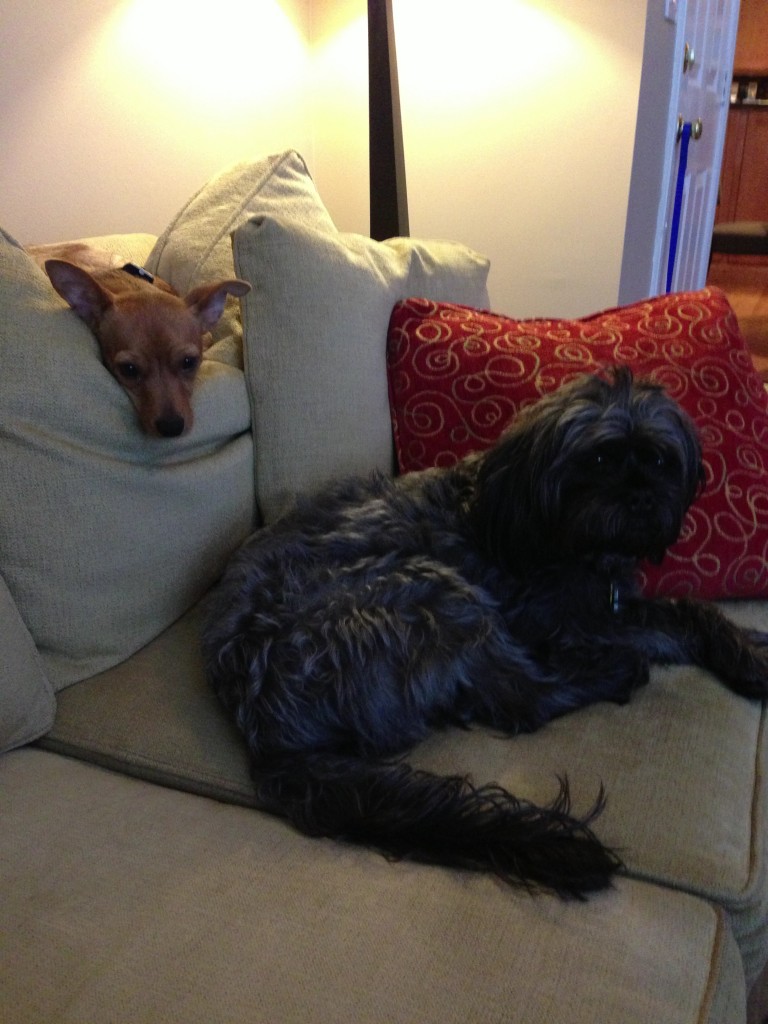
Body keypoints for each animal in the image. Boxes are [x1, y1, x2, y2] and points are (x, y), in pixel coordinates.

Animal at [202, 368, 768, 897]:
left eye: (659, 460)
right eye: (599, 460)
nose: (642, 499)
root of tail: (268, 736)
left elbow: (688, 612)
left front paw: (748, 650)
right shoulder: (557, 624)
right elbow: (662, 627)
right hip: (428, 591)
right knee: (525, 699)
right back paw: (612, 676)